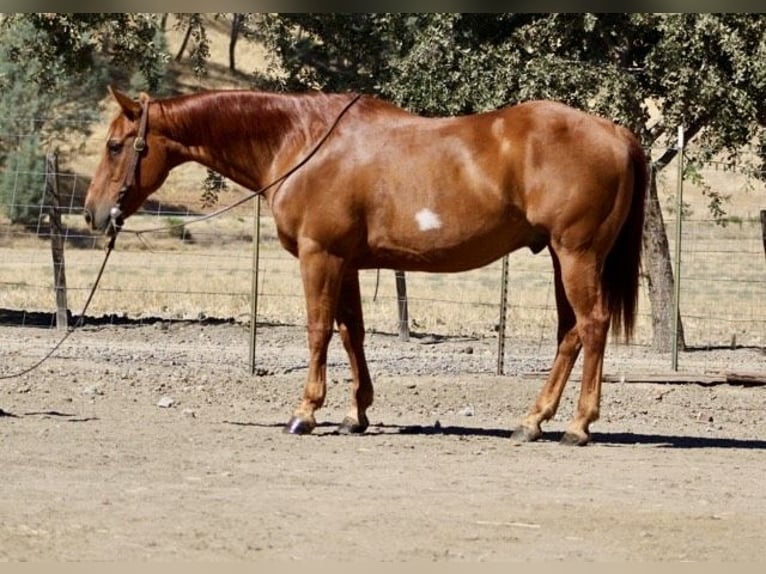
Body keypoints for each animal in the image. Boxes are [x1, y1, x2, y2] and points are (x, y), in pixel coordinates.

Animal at [84, 86, 647, 446]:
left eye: (114, 146)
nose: (93, 213)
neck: (304, 142)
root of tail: (617, 133)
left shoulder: (320, 256)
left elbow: (317, 330)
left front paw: (305, 413)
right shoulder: (348, 263)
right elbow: (350, 331)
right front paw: (356, 413)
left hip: (575, 255)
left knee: (592, 326)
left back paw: (578, 425)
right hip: (558, 257)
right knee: (570, 333)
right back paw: (533, 420)